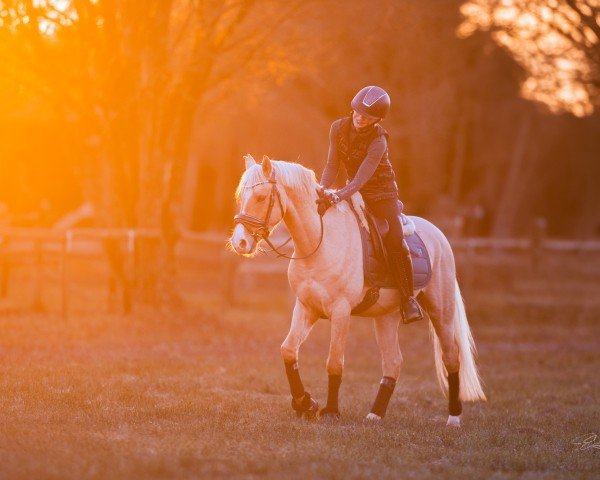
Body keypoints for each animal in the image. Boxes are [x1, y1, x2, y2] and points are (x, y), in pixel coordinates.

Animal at [227, 153, 486, 424]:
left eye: (260, 197)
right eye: (241, 197)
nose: (239, 242)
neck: (320, 243)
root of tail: (439, 236)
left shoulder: (340, 312)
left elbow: (334, 362)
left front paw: (330, 411)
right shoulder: (306, 307)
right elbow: (288, 351)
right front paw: (305, 403)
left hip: (440, 311)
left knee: (451, 357)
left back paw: (453, 418)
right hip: (386, 318)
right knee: (393, 362)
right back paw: (375, 414)